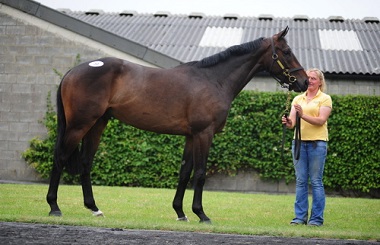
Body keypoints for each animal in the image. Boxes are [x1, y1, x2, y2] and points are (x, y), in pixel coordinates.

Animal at [47, 26, 308, 222]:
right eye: (286, 51)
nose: (304, 82)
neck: (213, 79)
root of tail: (72, 71)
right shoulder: (204, 134)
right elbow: (200, 173)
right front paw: (202, 214)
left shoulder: (191, 136)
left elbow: (184, 172)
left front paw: (181, 213)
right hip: (79, 125)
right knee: (60, 157)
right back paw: (54, 207)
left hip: (97, 124)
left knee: (85, 162)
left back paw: (94, 208)